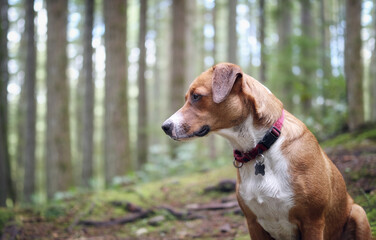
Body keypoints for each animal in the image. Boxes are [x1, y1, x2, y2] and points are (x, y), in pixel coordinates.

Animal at [160, 62, 372, 239]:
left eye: (196, 96)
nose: (165, 127)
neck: (259, 147)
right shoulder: (253, 224)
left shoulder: (313, 221)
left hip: (359, 212)